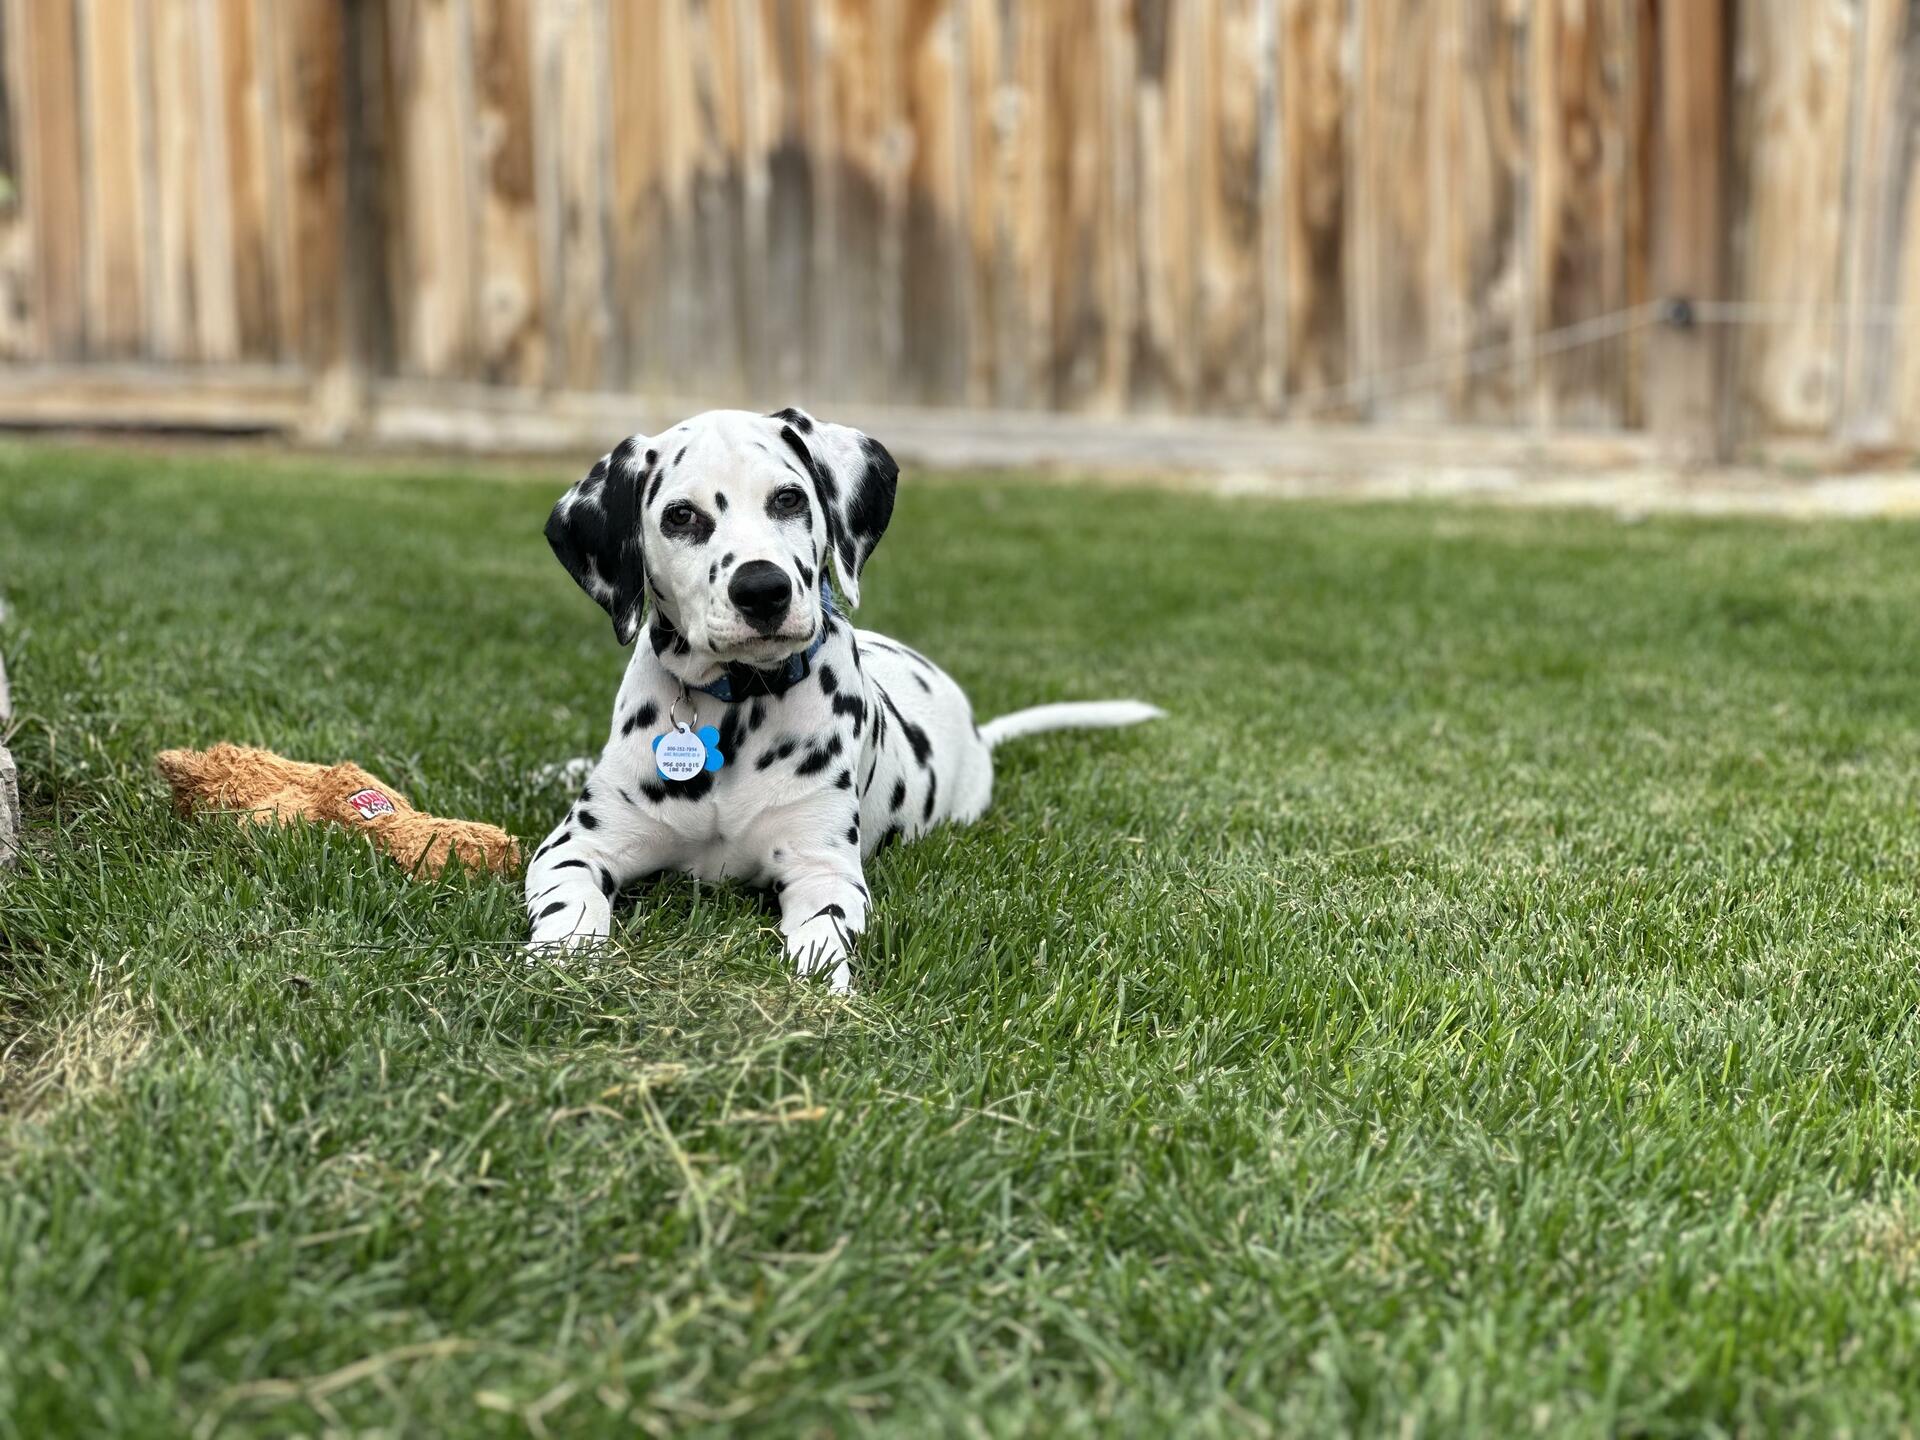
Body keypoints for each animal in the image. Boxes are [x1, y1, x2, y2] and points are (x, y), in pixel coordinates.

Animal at [518, 407, 1159, 990]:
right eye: (680, 515)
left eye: (788, 498)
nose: (763, 589)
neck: (738, 703)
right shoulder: (575, 847)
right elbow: (572, 907)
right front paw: (562, 958)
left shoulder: (822, 868)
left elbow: (822, 933)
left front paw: (819, 987)